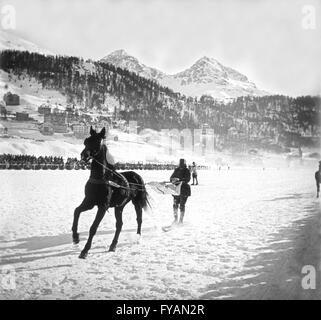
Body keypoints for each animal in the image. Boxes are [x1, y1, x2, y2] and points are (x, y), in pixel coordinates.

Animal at [71, 126, 150, 258]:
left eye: (98, 141)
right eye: (86, 141)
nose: (84, 156)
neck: (101, 178)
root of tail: (137, 175)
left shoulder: (103, 206)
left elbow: (93, 228)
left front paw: (85, 250)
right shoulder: (89, 202)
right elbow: (76, 211)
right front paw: (75, 237)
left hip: (137, 202)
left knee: (139, 219)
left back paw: (137, 237)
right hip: (119, 206)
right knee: (119, 224)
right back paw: (113, 245)